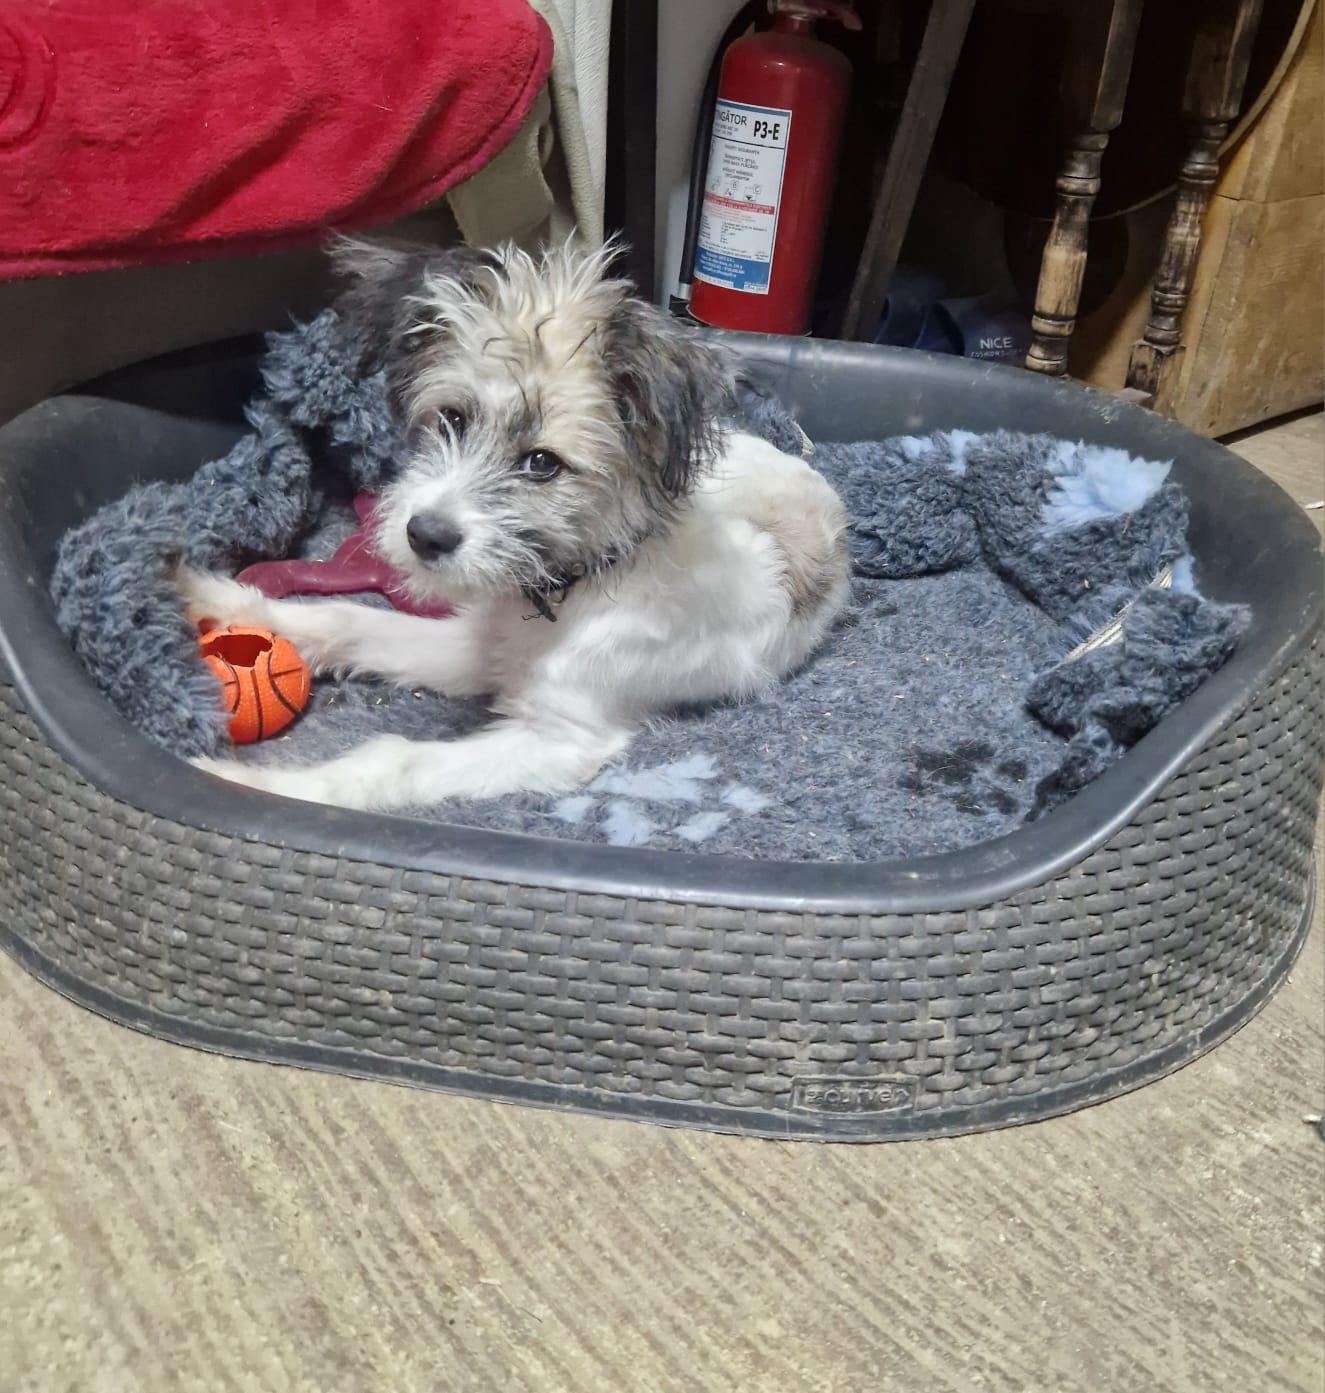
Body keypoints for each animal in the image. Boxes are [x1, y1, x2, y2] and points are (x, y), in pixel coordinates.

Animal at [180, 239, 849, 812]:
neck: (572, 587)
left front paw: (252, 786)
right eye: (452, 418)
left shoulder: (561, 738)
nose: (423, 537)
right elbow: (353, 621)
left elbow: (394, 760)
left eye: (543, 463)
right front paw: (216, 596)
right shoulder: (477, 645)